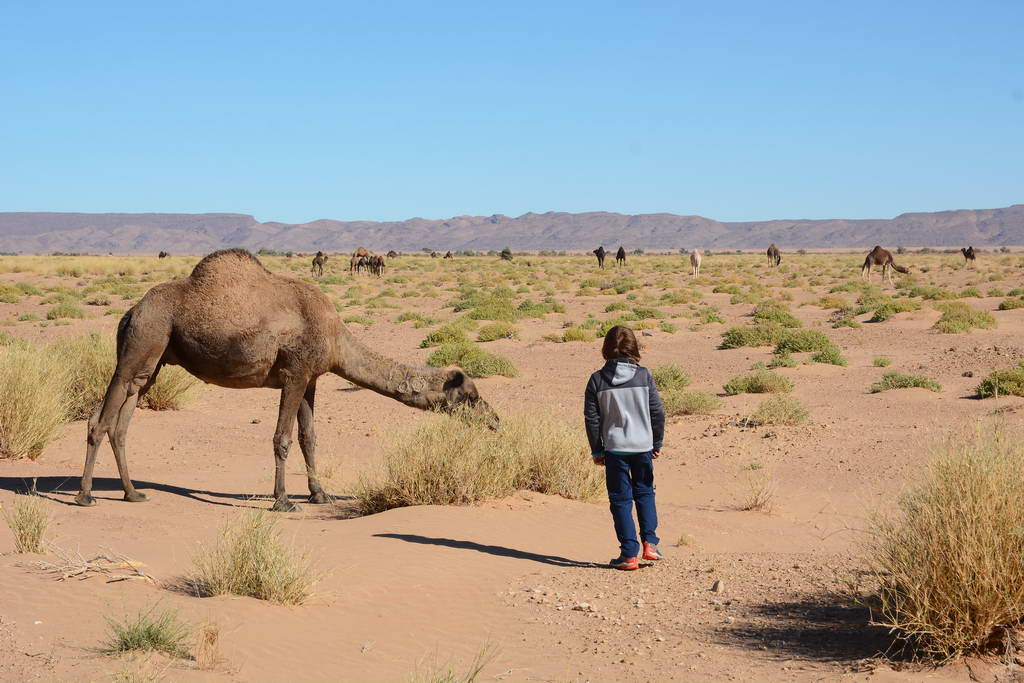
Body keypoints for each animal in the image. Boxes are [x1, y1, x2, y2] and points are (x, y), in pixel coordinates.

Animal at [74, 249, 497, 512]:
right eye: (471, 396)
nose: (495, 421)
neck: (335, 337)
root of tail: (131, 311)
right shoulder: (294, 374)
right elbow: (282, 437)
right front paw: (282, 501)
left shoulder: (310, 378)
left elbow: (309, 437)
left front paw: (320, 494)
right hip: (142, 343)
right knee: (100, 421)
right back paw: (85, 496)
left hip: (153, 359)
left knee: (120, 420)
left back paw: (132, 494)